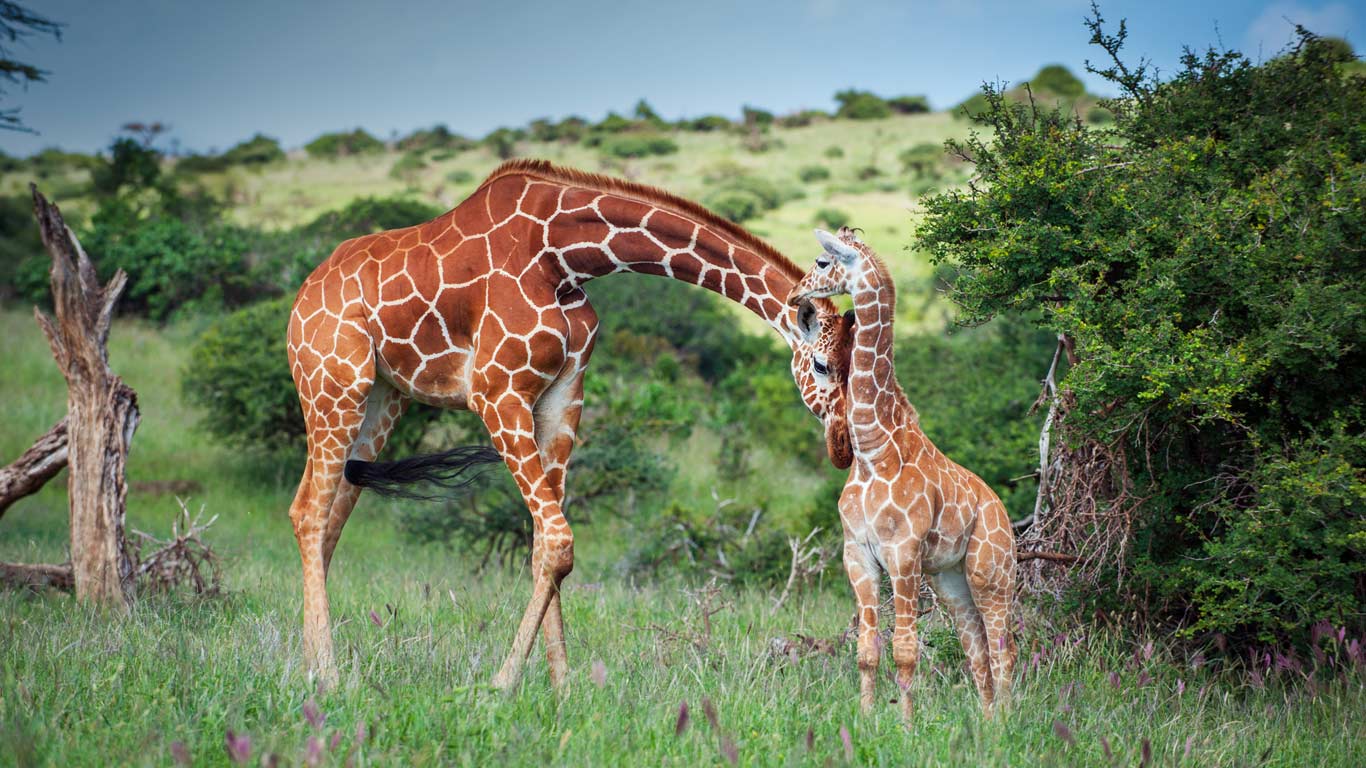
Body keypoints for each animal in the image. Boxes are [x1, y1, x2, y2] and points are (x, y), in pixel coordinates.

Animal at [286, 159, 849, 690]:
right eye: (823, 365)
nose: (844, 447)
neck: (564, 256)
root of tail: (302, 294)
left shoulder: (563, 395)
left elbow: (544, 545)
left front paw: (562, 688)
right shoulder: (498, 393)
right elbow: (558, 541)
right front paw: (502, 684)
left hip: (382, 399)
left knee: (326, 516)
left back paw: (308, 664)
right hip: (332, 385)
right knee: (309, 512)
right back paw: (328, 674)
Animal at [787, 228, 1018, 720]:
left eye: (822, 261)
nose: (797, 295)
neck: (875, 449)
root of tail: (1003, 511)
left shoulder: (904, 555)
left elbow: (906, 650)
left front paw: (906, 725)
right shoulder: (858, 555)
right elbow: (867, 650)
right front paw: (867, 718)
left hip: (991, 572)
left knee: (1003, 648)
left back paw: (1008, 721)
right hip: (951, 579)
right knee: (977, 649)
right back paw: (988, 722)